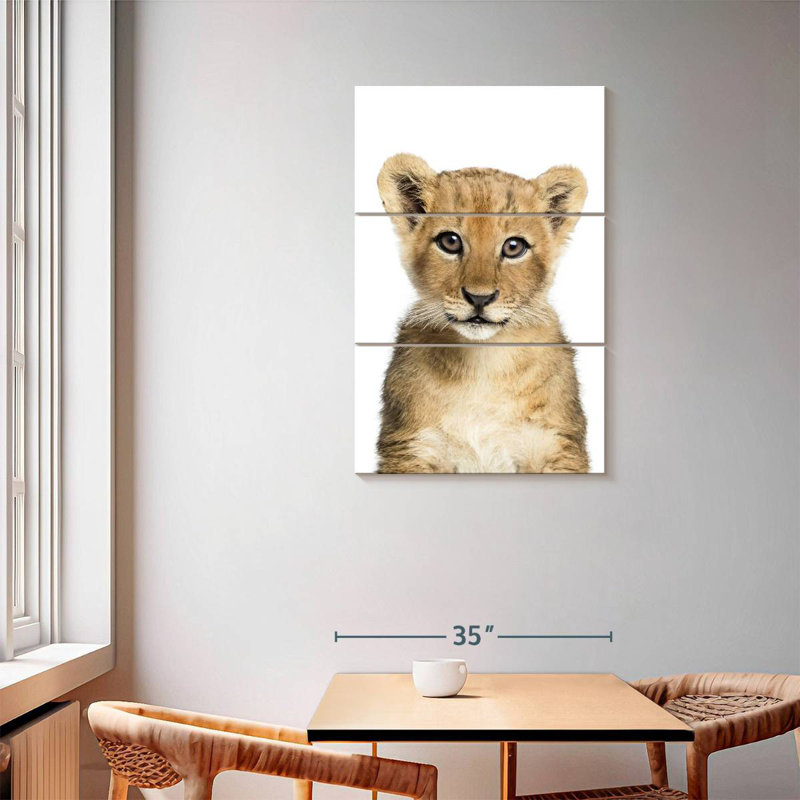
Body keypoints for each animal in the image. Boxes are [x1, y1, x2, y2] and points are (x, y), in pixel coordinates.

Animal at [374, 154, 591, 473]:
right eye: (450, 241)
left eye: (514, 247)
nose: (480, 297)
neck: (483, 362)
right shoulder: (411, 447)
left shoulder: (556, 446)